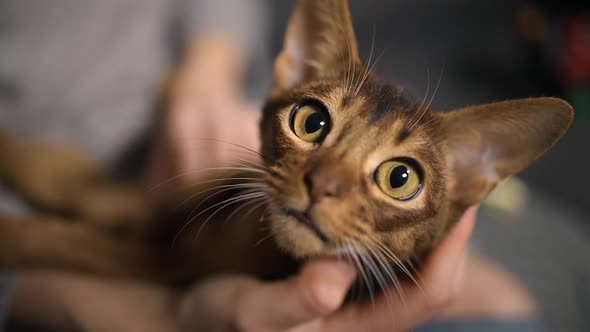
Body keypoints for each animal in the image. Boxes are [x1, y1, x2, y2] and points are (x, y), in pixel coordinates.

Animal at [0, 0, 576, 296]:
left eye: (400, 178)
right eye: (312, 121)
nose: (321, 184)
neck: (235, 230)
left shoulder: (165, 268)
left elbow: (67, 240)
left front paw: (16, 231)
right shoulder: (189, 196)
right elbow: (80, 183)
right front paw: (14, 147)